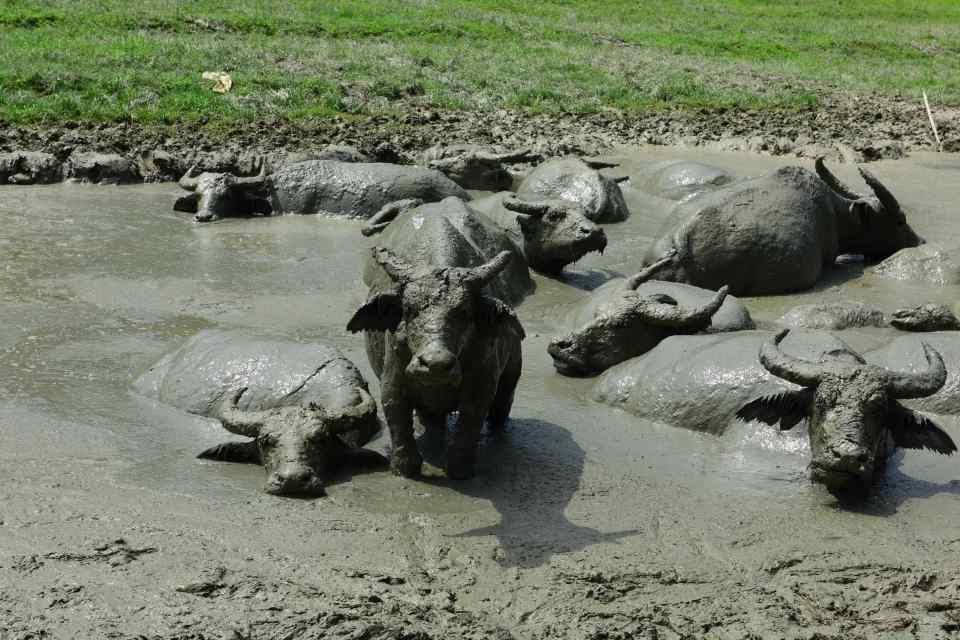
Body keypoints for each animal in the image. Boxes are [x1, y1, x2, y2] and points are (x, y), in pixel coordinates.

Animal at [346, 248, 524, 478]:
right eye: (409, 309)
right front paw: (404, 467)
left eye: (464, 312)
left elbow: (470, 421)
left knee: (501, 406)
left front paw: (460, 468)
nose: (435, 364)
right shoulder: (392, 382)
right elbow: (397, 417)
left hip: (511, 374)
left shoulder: (482, 386)